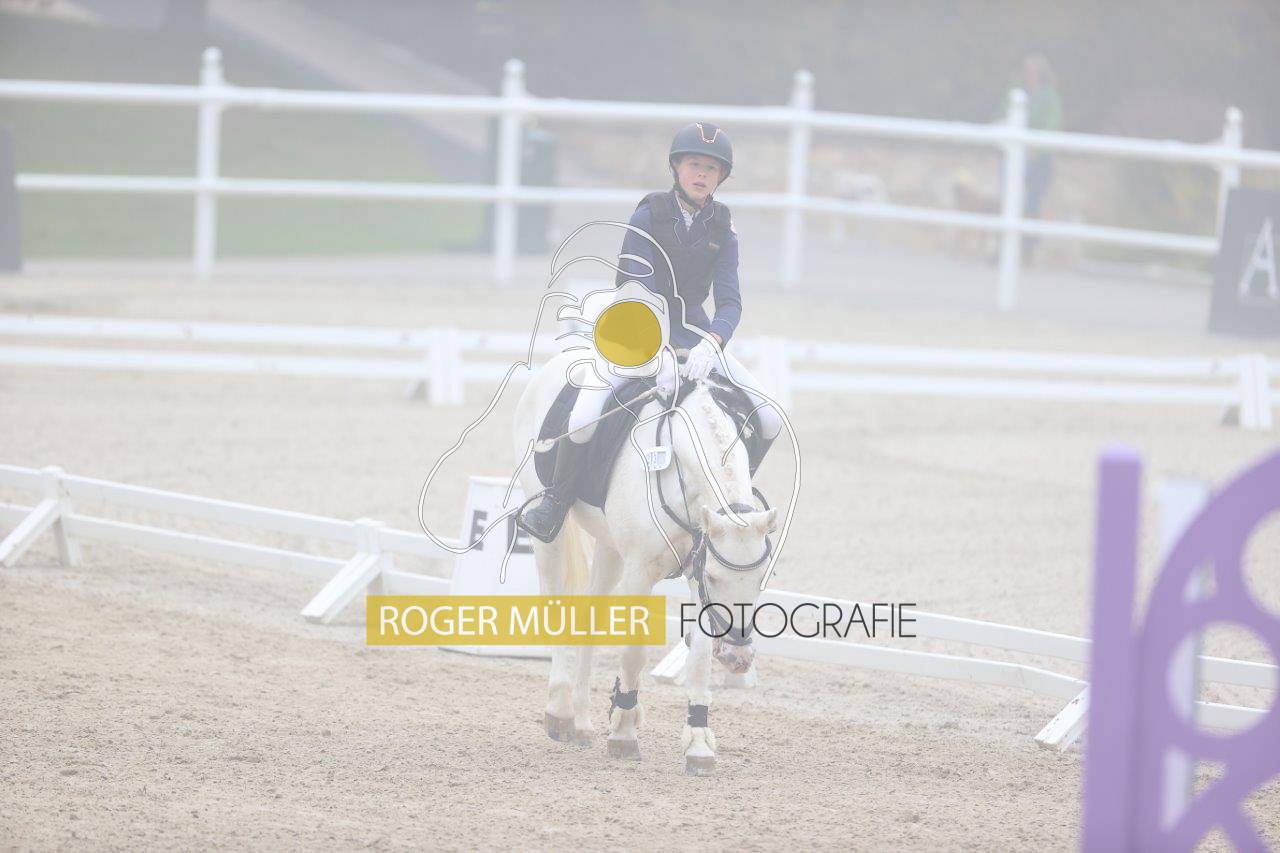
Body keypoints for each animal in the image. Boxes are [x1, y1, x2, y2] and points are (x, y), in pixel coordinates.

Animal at [513, 349, 779, 775]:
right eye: (716, 578)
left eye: (760, 581)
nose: (737, 657)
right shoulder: (644, 570)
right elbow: (634, 650)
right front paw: (623, 732)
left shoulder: (693, 570)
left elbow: (699, 658)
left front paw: (698, 745)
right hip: (549, 529)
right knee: (555, 601)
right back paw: (559, 713)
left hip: (610, 547)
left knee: (591, 615)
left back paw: (581, 721)